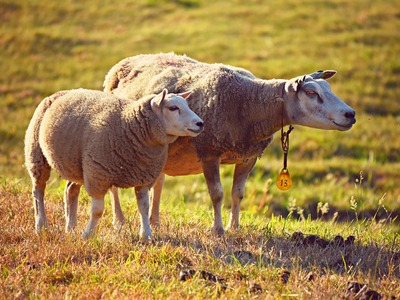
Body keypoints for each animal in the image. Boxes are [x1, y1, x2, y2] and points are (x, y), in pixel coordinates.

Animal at [24, 88, 205, 238]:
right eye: (173, 108)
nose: (200, 123)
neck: (129, 124)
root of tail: (60, 93)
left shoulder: (144, 177)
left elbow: (144, 207)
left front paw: (146, 235)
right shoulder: (98, 175)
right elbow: (97, 211)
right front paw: (87, 235)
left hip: (76, 165)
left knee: (70, 191)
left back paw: (71, 228)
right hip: (36, 154)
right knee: (38, 191)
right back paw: (41, 226)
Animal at [103, 53, 356, 237]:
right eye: (311, 92)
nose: (350, 114)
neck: (249, 103)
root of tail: (127, 60)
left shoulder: (248, 156)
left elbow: (238, 194)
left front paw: (235, 227)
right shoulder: (209, 151)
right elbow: (217, 194)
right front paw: (218, 230)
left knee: (158, 182)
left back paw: (154, 221)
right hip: (116, 141)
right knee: (114, 186)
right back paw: (119, 221)